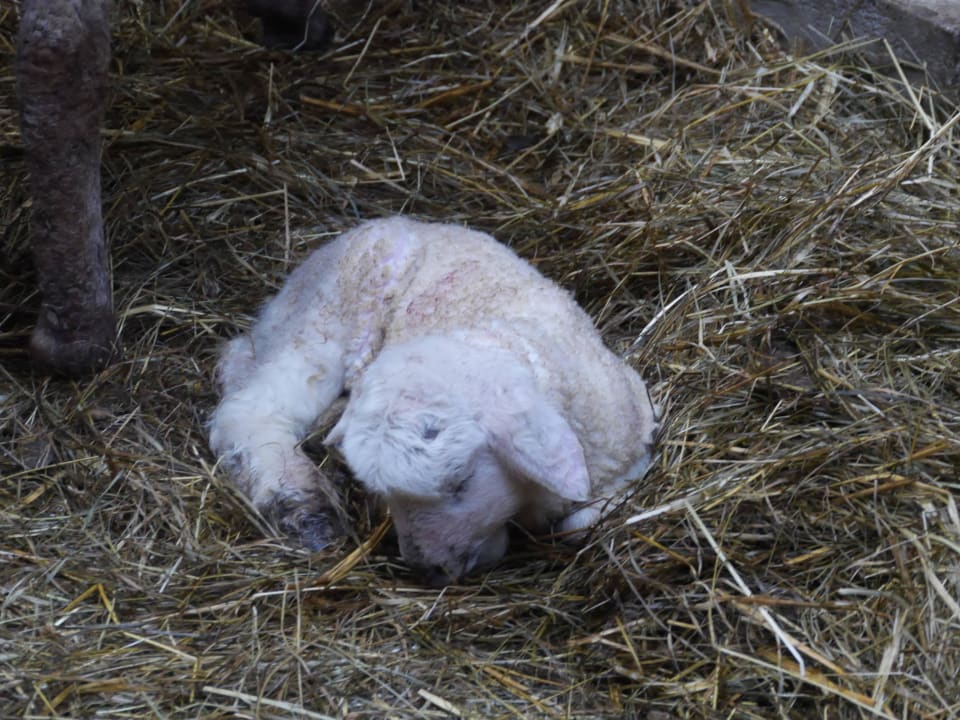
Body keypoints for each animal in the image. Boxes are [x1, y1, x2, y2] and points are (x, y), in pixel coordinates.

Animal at [209, 217, 659, 585]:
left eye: (462, 483)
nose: (427, 571)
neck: (500, 335)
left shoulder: (635, 444)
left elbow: (580, 521)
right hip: (330, 314)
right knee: (249, 410)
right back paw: (304, 507)